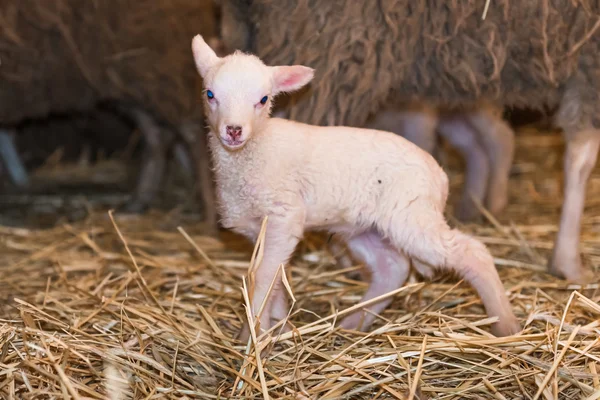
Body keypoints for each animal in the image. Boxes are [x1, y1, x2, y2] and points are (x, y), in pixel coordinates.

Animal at [191, 35, 520, 340]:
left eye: (262, 99)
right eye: (210, 94)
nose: (234, 130)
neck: (256, 151)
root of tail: (439, 175)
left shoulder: (285, 216)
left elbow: (262, 277)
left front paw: (252, 338)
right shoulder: (256, 227)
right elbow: (275, 279)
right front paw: (276, 328)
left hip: (411, 216)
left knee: (472, 252)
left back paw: (505, 325)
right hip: (364, 227)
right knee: (392, 268)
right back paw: (353, 323)